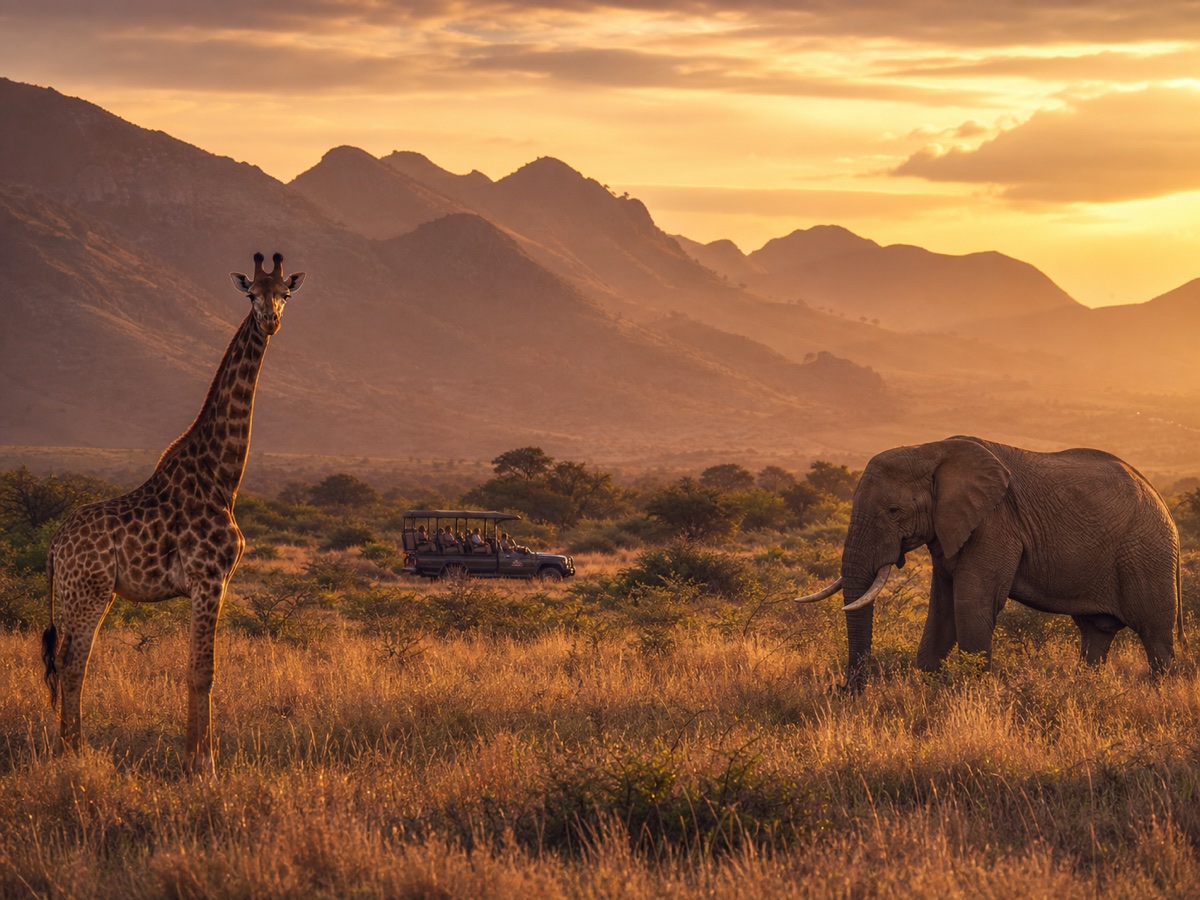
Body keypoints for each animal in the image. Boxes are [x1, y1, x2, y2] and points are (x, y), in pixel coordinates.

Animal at [41, 252, 305, 776]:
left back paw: (72, 749)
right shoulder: (208, 578)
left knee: (69, 662)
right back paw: (72, 753)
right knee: (72, 661)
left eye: (285, 292)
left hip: (81, 594)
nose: (270, 321)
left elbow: (197, 669)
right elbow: (202, 671)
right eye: (251, 293)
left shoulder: (213, 582)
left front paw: (195, 759)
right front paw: (202, 765)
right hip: (87, 592)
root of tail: (56, 547)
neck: (222, 475)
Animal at [797, 436, 1186, 691]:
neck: (930, 450)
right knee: (1096, 633)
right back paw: (1087, 691)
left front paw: (971, 695)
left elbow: (972, 603)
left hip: (1147, 553)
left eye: (894, 511)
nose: (844, 691)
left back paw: (1162, 694)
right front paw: (932, 693)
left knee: (1155, 635)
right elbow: (942, 609)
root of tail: (1162, 502)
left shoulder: (995, 523)